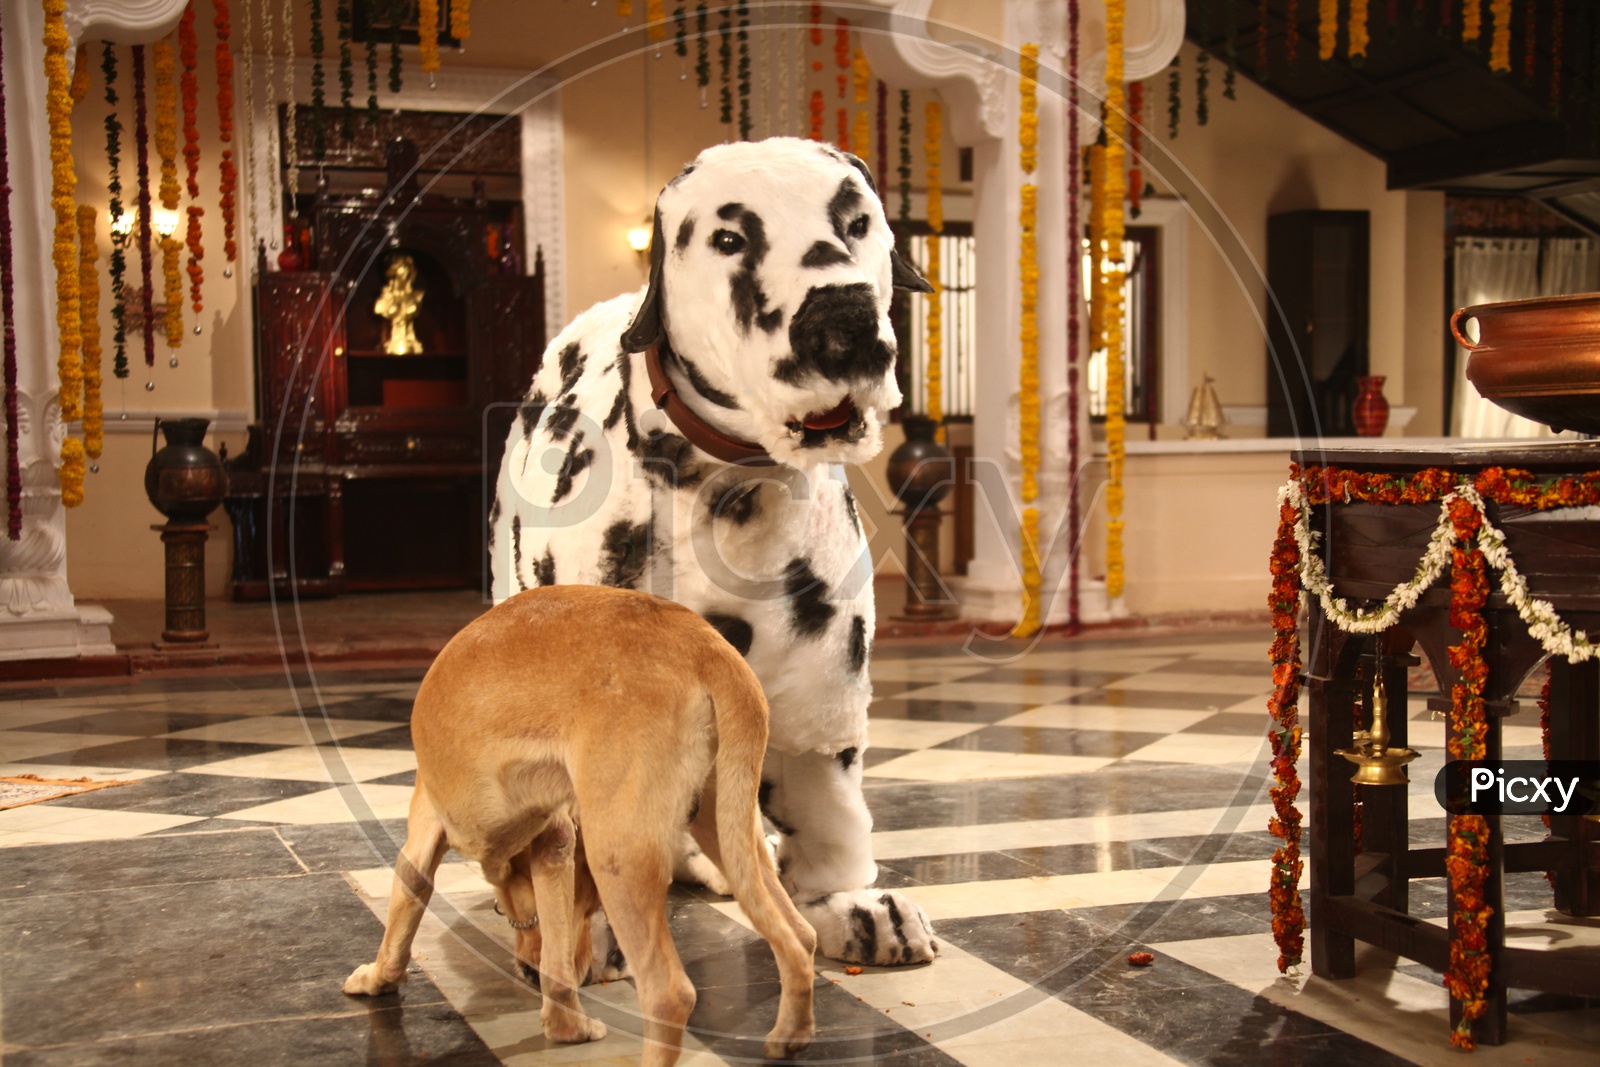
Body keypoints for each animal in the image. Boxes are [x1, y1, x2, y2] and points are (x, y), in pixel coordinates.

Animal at [337, 588, 812, 1062]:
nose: (527, 972)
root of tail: (705, 644)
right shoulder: (557, 845)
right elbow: (557, 963)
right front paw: (568, 1027)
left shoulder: (424, 834)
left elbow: (404, 911)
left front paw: (378, 978)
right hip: (726, 829)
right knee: (800, 935)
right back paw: (791, 1035)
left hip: (620, 859)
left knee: (670, 995)